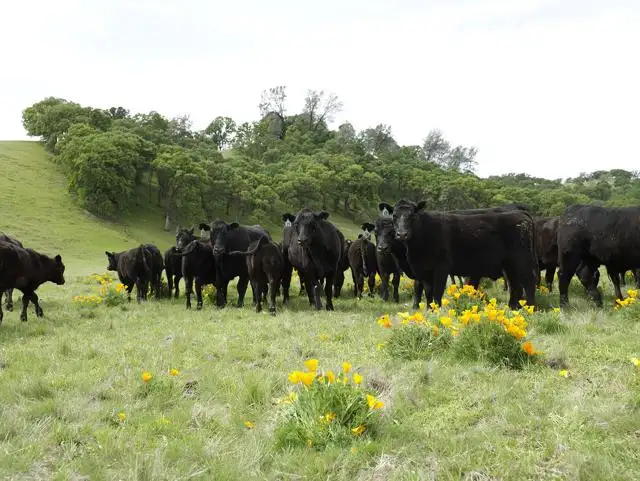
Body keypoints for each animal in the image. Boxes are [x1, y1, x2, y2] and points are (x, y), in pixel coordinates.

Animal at [392, 199, 537, 310]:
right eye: (394, 216)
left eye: (413, 216)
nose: (402, 234)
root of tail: (522, 214)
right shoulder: (422, 270)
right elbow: (428, 291)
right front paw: (429, 309)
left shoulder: (441, 268)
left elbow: (437, 291)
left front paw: (436, 309)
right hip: (509, 265)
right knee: (515, 285)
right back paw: (513, 307)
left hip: (522, 262)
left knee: (528, 282)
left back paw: (531, 308)